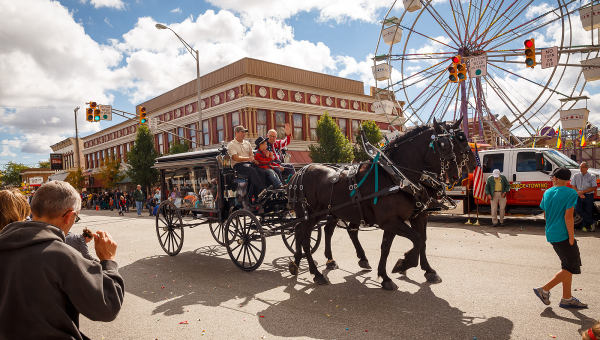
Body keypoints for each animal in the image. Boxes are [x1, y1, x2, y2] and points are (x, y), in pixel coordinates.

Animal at [288, 119, 462, 290]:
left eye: (455, 144)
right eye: (443, 145)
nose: (456, 175)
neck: (396, 177)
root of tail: (299, 172)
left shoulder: (403, 219)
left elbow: (391, 246)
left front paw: (388, 276)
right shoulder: (391, 221)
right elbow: (418, 240)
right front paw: (403, 264)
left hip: (323, 213)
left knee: (301, 231)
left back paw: (296, 263)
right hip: (309, 215)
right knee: (305, 238)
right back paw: (316, 273)